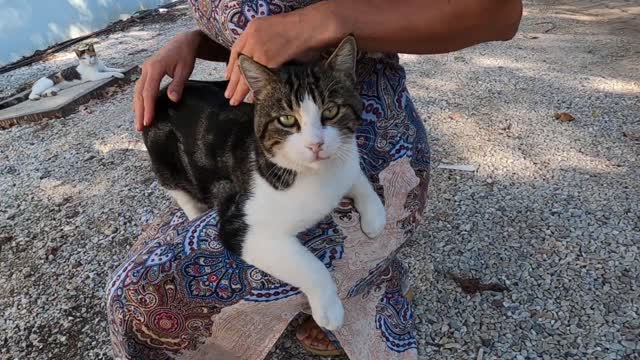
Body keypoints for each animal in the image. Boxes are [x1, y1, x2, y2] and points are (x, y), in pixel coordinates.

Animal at [144, 36, 384, 332]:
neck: (313, 175)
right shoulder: (241, 226)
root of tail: (165, 92)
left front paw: (375, 216)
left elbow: (357, 176)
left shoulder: (346, 160)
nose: (315, 144)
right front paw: (329, 309)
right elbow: (309, 265)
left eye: (331, 110)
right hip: (164, 157)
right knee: (181, 191)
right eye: (287, 119)